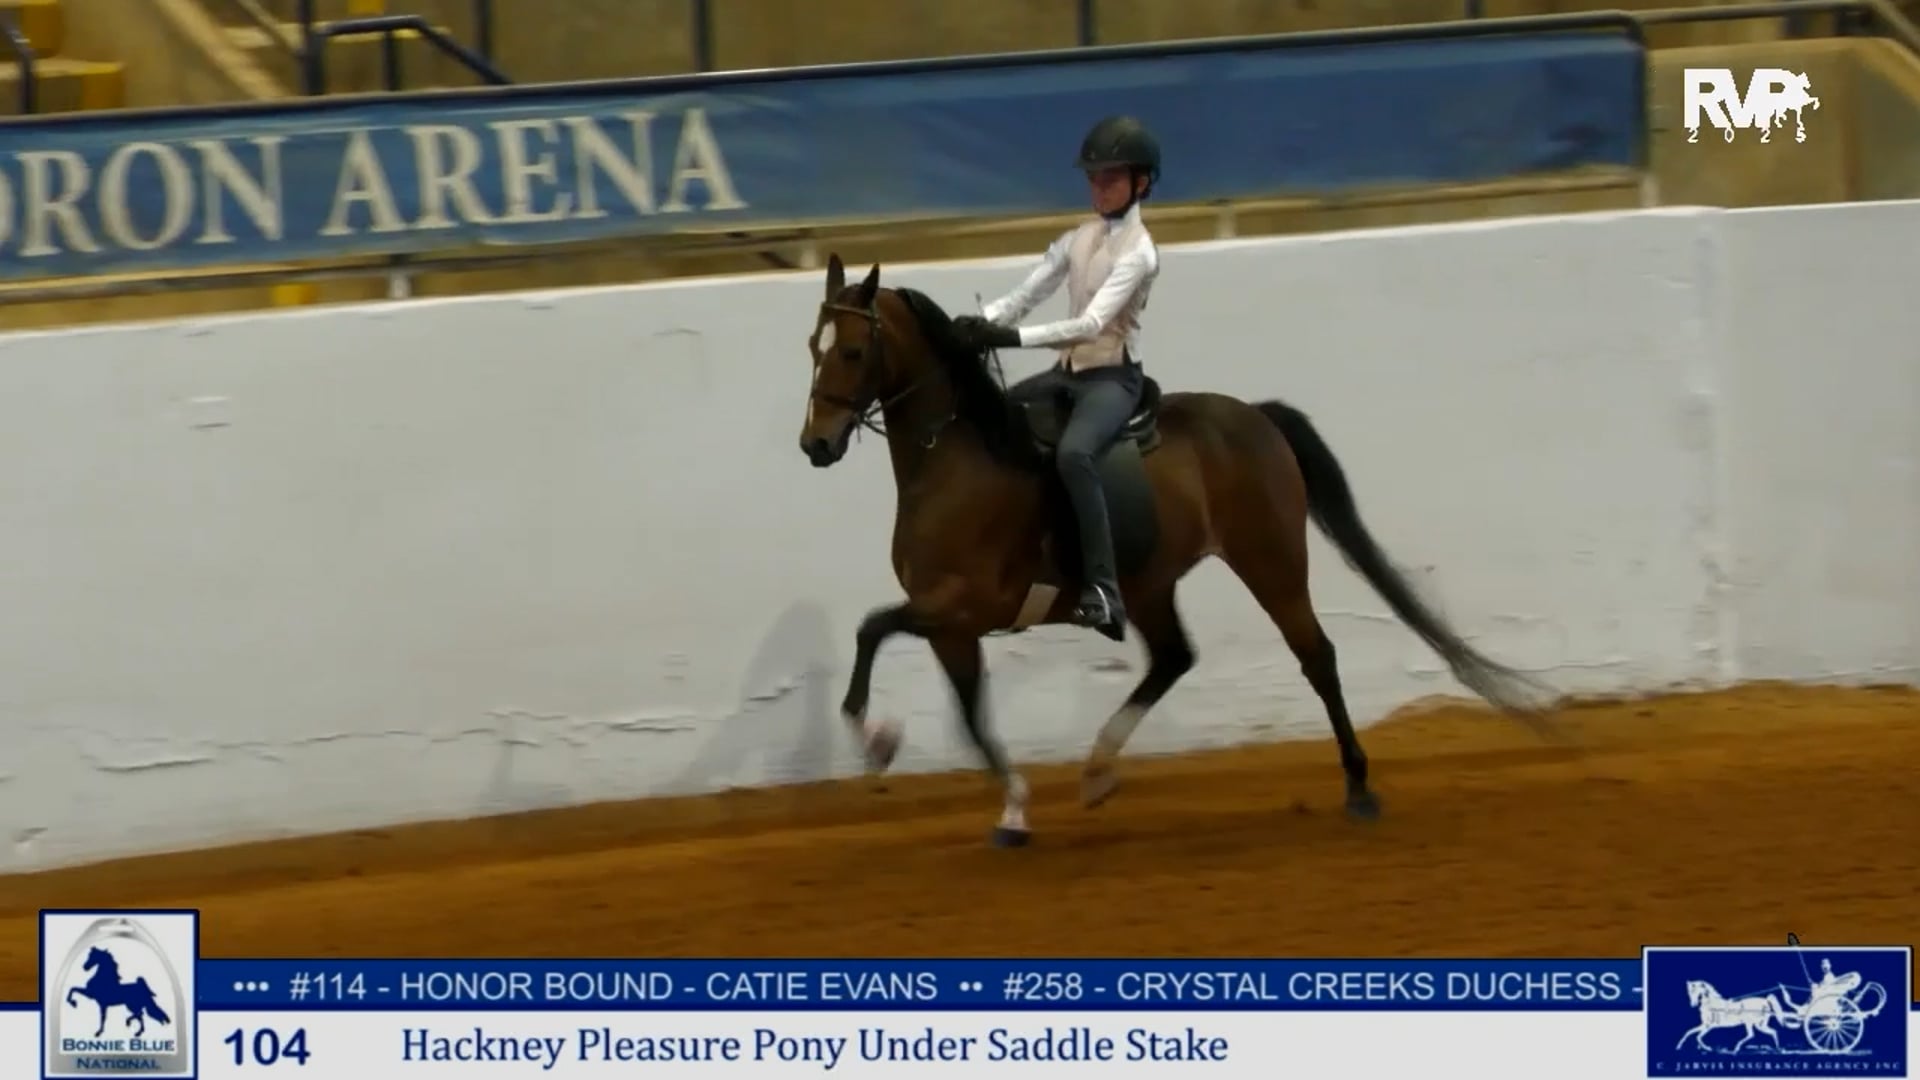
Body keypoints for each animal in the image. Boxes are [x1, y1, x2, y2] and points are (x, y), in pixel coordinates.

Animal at [797, 254, 1557, 846]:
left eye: (854, 351)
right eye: (813, 345)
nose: (816, 443)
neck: (957, 460)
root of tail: (1254, 416)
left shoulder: (964, 607)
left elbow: (875, 631)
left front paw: (875, 739)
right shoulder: (951, 625)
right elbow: (969, 713)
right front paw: (1011, 809)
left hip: (1271, 561)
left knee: (1315, 657)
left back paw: (1360, 789)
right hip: (1150, 582)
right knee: (1173, 657)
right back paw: (1099, 770)